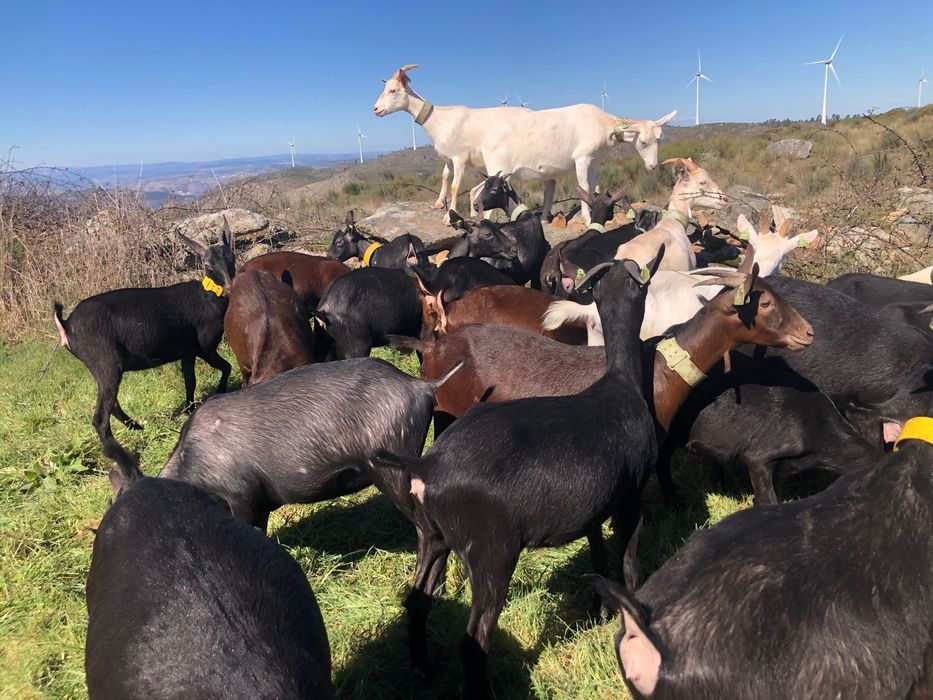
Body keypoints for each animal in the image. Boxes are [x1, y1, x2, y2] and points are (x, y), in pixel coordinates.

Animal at [53, 222, 235, 478]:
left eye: (232, 256)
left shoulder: (188, 351)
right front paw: (219, 392)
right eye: (207, 265)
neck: (208, 297)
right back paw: (122, 459)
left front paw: (189, 409)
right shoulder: (205, 347)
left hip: (98, 366)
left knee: (112, 403)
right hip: (106, 361)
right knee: (100, 417)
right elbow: (226, 367)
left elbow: (190, 380)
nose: (230, 288)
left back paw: (136, 426)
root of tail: (66, 325)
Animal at [367, 251, 667, 698]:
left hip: (433, 536)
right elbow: (629, 563)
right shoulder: (630, 498)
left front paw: (599, 609)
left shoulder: (594, 504)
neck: (619, 385)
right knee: (473, 640)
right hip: (491, 553)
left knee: (417, 601)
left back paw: (422, 666)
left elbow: (597, 552)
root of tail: (425, 466)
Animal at [372, 64, 675, 223]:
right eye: (644, 141)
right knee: (478, 192)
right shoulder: (455, 159)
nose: (375, 109)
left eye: (658, 140)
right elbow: (452, 182)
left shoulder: (591, 163)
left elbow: (593, 188)